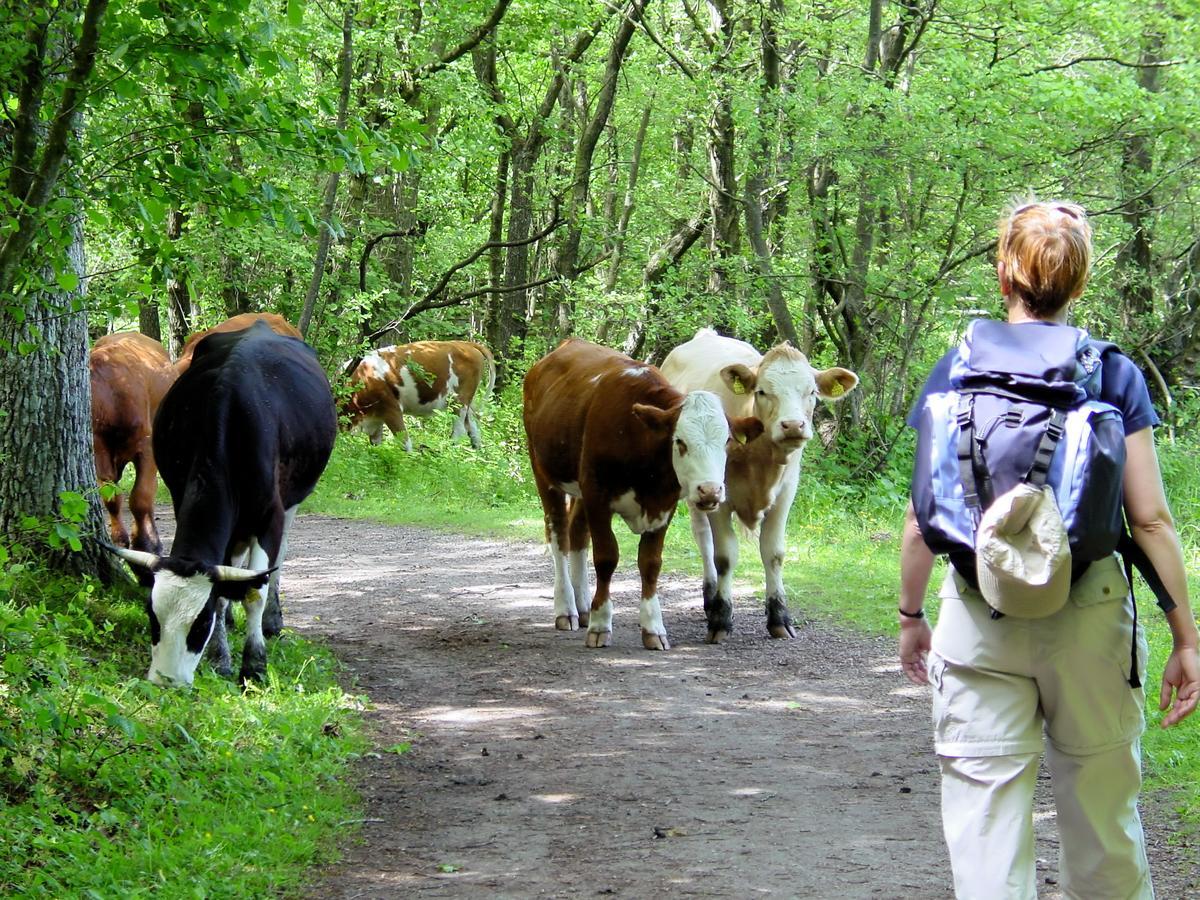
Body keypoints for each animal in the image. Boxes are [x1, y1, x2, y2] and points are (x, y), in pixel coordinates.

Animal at [90, 333, 176, 554]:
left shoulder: (146, 445)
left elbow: (140, 496)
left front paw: (146, 543)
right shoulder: (99, 450)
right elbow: (111, 497)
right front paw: (120, 539)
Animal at [109, 324, 336, 691]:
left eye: (200, 624)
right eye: (152, 617)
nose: (166, 681)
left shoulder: (270, 515)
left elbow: (255, 591)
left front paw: (254, 665)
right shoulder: (181, 494)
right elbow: (224, 582)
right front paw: (221, 657)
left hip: (294, 496)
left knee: (278, 556)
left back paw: (273, 619)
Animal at [345, 340, 494, 451]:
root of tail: (465, 344)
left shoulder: (391, 408)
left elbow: (404, 442)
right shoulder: (376, 417)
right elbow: (376, 443)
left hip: (459, 401)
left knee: (459, 430)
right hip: (466, 403)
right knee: (473, 428)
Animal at [525, 340, 758, 652]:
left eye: (727, 441)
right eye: (680, 442)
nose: (710, 490)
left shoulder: (664, 504)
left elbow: (650, 563)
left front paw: (652, 627)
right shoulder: (598, 496)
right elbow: (606, 557)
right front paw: (601, 625)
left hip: (579, 487)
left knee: (577, 533)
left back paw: (584, 606)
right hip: (544, 471)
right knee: (559, 534)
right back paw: (567, 608)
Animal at [662, 328, 859, 643]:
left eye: (812, 392)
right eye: (762, 391)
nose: (793, 425)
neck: (760, 458)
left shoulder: (786, 493)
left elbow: (774, 553)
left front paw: (779, 617)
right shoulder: (719, 495)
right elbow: (724, 556)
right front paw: (721, 619)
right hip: (697, 488)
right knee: (703, 539)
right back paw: (710, 598)